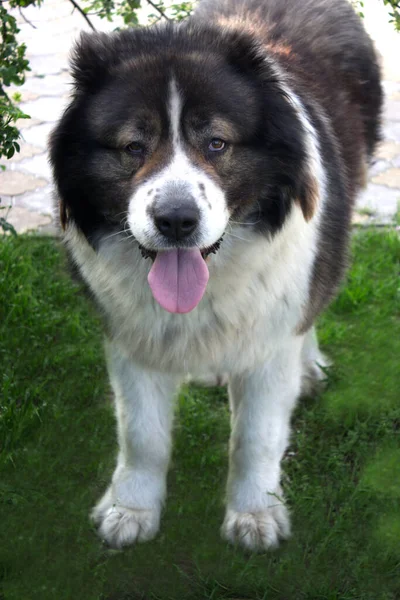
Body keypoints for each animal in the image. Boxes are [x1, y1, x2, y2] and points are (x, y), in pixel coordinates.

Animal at [50, 0, 382, 552]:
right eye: (133, 146)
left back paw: (310, 367)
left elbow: (255, 435)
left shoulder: (271, 340)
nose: (176, 220)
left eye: (217, 143)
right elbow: (141, 434)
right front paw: (130, 509)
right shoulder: (131, 336)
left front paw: (255, 515)